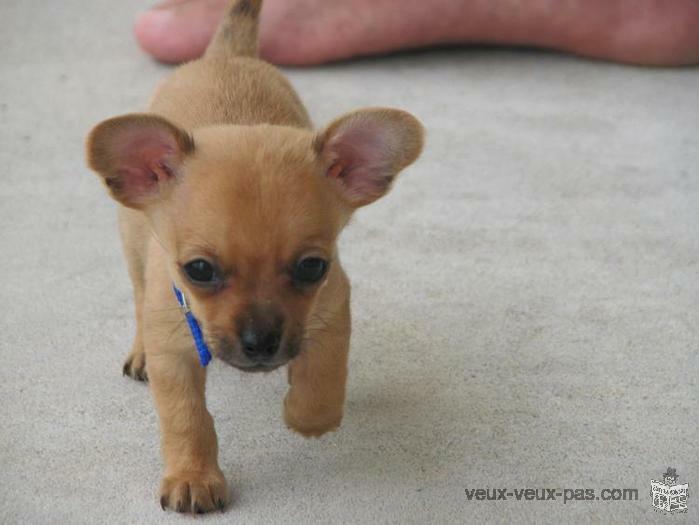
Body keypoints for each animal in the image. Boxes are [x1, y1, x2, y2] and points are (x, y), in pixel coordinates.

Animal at [82, 0, 422, 512]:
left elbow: (324, 375)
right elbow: (187, 419)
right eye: (199, 270)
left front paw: (307, 416)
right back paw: (140, 351)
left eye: (312, 267)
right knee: (140, 299)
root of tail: (228, 54)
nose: (261, 343)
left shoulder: (332, 308)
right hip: (134, 248)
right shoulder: (174, 355)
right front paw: (193, 476)